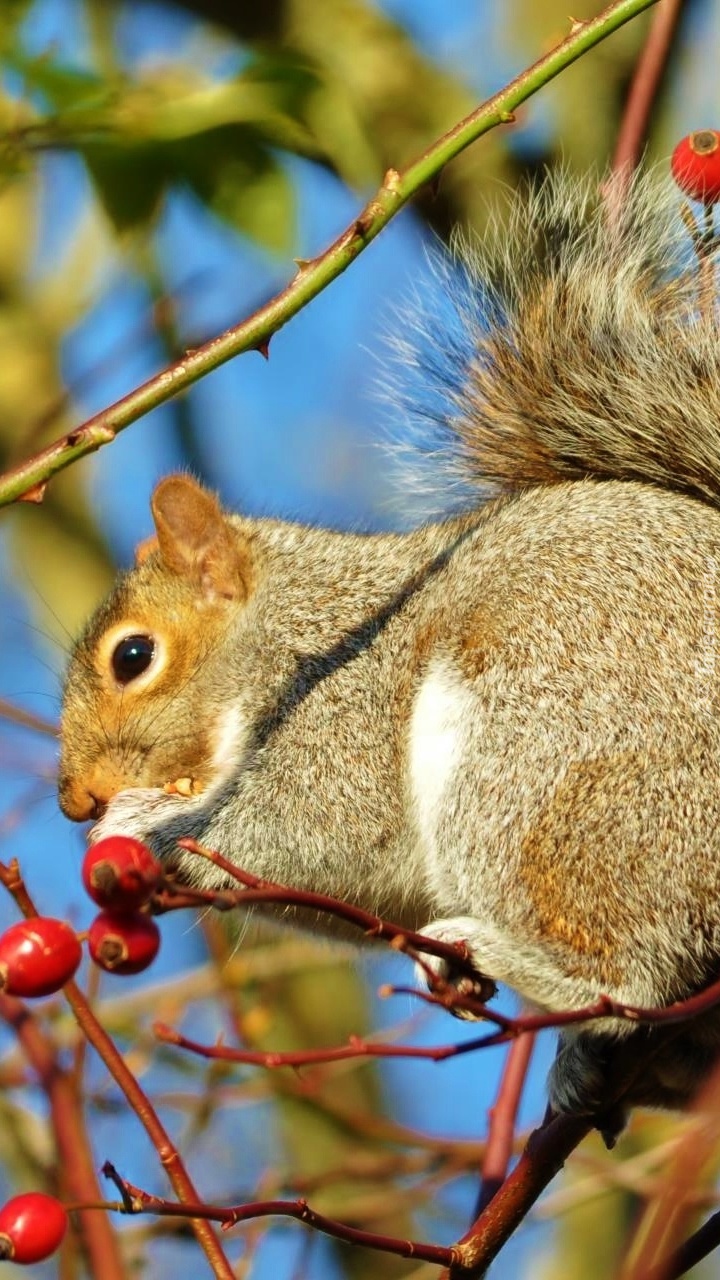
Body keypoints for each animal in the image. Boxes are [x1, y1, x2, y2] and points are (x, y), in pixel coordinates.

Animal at [57, 167, 720, 1131]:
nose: (74, 801)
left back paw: (516, 960)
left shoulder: (348, 707)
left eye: (133, 658)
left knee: (628, 972)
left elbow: (313, 827)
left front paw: (147, 821)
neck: (300, 627)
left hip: (545, 770)